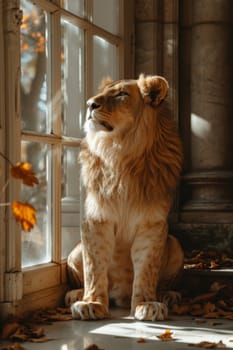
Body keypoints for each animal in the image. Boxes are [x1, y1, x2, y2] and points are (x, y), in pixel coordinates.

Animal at [65, 74, 184, 320]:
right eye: (101, 93)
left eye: (121, 94)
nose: (89, 104)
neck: (120, 152)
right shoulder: (95, 220)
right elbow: (94, 266)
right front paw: (90, 303)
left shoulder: (152, 224)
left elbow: (146, 267)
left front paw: (147, 303)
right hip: (75, 251)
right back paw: (75, 294)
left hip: (175, 244)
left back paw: (167, 295)